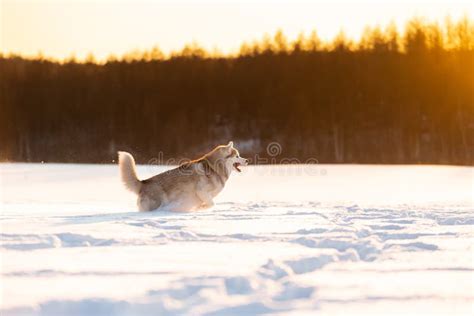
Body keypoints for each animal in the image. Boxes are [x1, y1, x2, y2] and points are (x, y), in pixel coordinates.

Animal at [118, 141, 248, 211]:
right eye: (237, 156)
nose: (247, 160)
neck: (214, 168)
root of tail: (144, 182)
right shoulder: (201, 191)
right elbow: (211, 204)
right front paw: (201, 209)